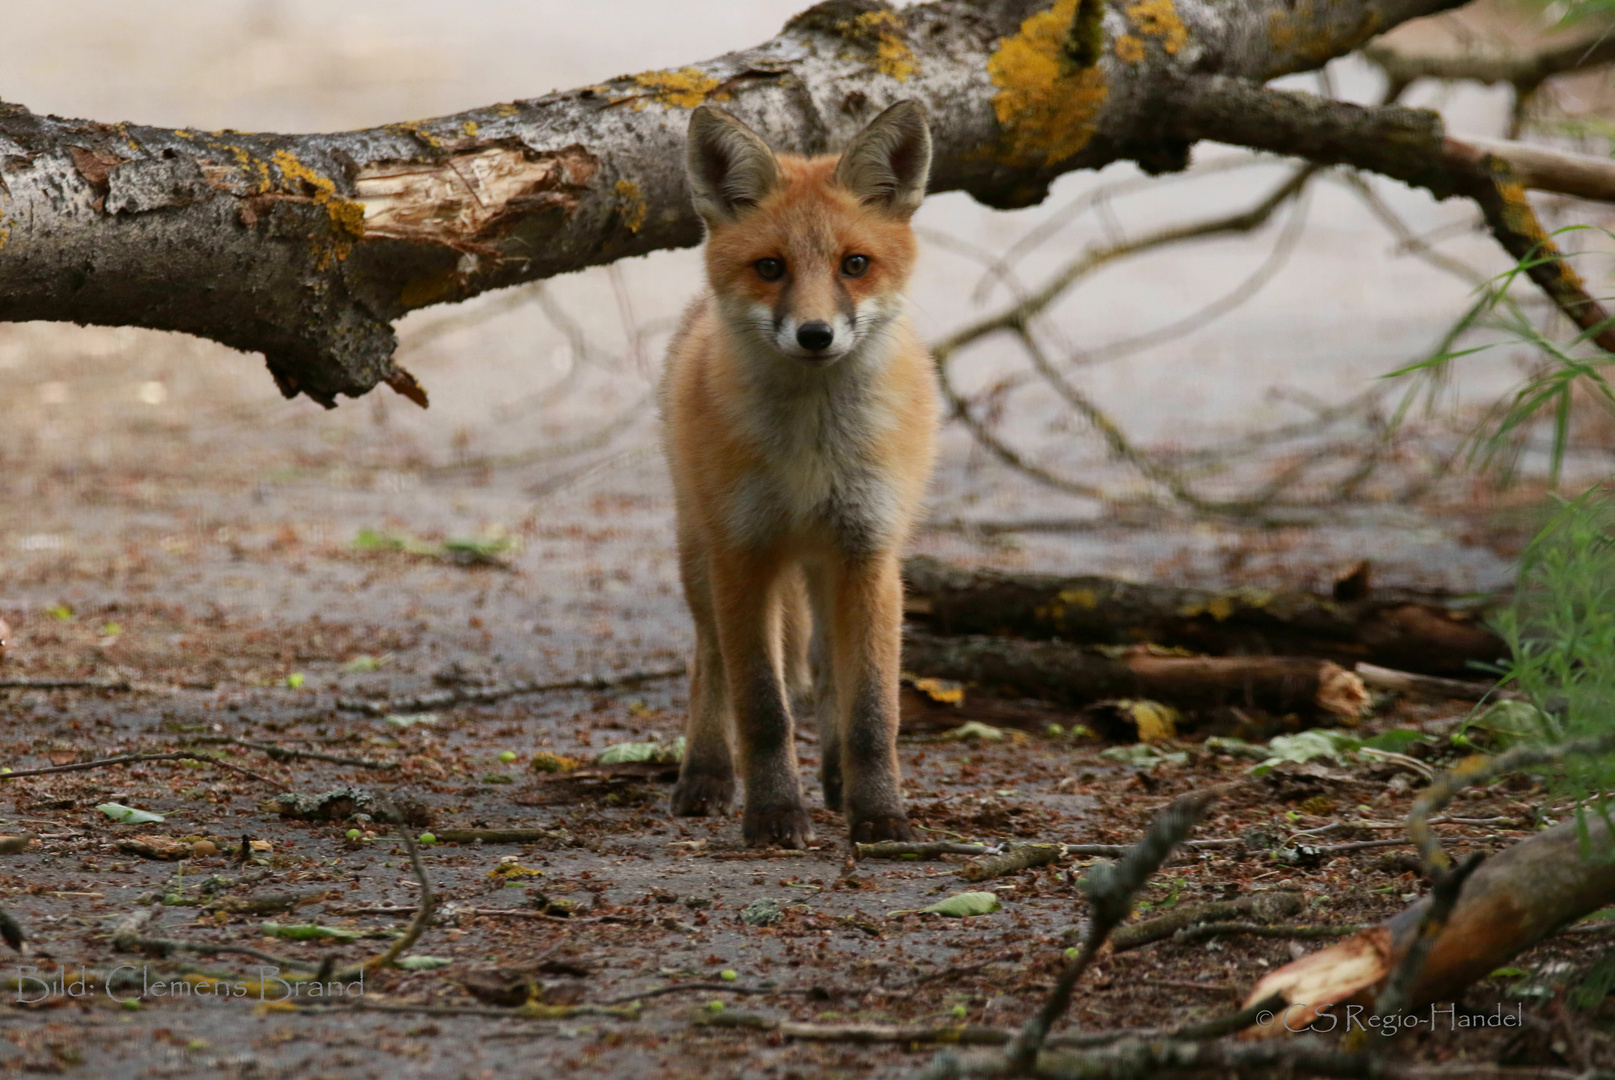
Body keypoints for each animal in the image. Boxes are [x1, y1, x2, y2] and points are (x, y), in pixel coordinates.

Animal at [652, 96, 936, 845]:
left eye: (854, 264)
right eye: (771, 268)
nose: (814, 335)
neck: (812, 450)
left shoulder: (870, 554)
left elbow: (872, 713)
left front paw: (880, 814)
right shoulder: (744, 554)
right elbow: (762, 707)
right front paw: (775, 815)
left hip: (825, 567)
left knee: (830, 676)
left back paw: (837, 783)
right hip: (700, 554)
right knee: (710, 663)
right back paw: (707, 774)